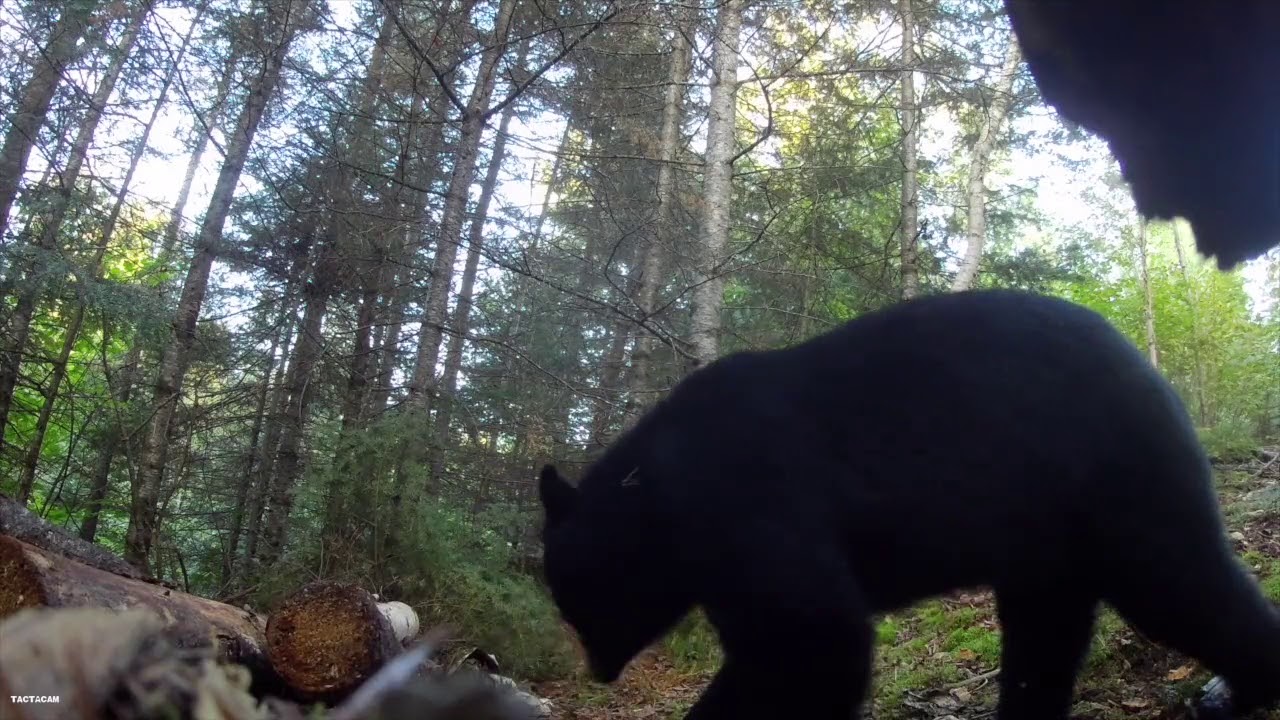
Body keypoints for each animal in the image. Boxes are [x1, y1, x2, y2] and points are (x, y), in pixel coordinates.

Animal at [538, 289, 1280, 720]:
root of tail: (1150, 367)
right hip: (1044, 535)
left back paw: (1239, 687)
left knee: (1178, 580)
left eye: (572, 601)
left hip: (1113, 476)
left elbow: (815, 636)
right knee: (1046, 634)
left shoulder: (756, 505)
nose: (597, 672)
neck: (660, 493)